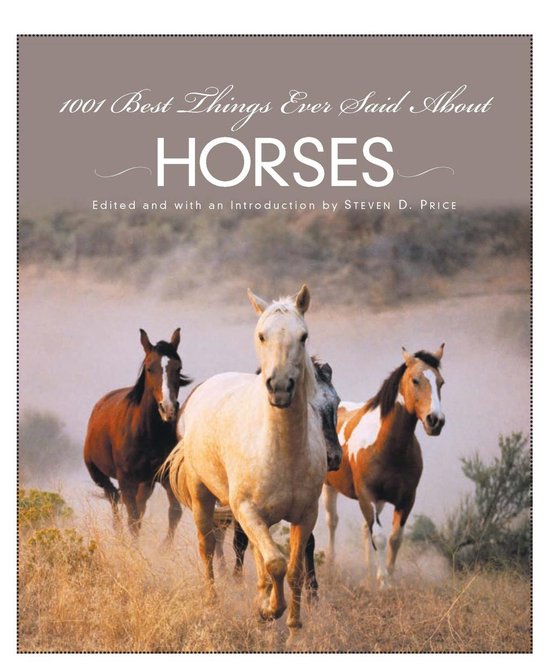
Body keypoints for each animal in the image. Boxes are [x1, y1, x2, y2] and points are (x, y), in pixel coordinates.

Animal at [83, 328, 192, 542]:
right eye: (150, 368)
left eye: (178, 368)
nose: (168, 409)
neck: (148, 434)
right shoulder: (126, 481)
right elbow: (132, 520)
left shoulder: (165, 477)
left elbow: (174, 512)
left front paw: (163, 548)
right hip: (101, 476)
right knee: (114, 502)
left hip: (145, 483)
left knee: (138, 507)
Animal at [166, 285, 327, 630]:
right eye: (262, 335)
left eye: (303, 336)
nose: (279, 387)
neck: (282, 451)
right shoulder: (248, 511)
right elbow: (276, 563)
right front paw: (267, 610)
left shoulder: (305, 516)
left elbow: (292, 570)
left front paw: (292, 627)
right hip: (202, 496)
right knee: (207, 546)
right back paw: (213, 601)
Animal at [212, 358, 342, 600]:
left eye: (336, 401)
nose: (333, 457)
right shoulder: (243, 504)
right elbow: (240, 541)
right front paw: (237, 582)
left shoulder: (306, 504)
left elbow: (307, 542)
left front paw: (312, 592)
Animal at [324, 345, 446, 587]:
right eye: (415, 380)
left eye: (441, 382)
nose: (435, 420)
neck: (388, 447)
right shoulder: (367, 495)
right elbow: (378, 536)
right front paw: (384, 582)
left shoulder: (406, 499)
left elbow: (394, 538)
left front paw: (388, 574)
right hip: (328, 487)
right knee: (332, 521)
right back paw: (331, 563)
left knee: (364, 529)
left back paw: (368, 569)